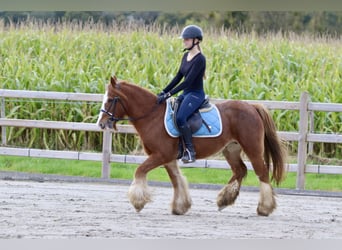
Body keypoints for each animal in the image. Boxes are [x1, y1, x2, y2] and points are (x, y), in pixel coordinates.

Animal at [96, 76, 286, 217]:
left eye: (111, 99)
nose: (101, 123)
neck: (152, 116)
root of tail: (252, 107)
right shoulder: (168, 158)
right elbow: (176, 179)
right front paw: (181, 206)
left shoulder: (161, 155)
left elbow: (140, 171)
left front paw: (138, 202)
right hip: (231, 149)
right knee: (240, 170)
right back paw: (224, 200)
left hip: (253, 149)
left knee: (262, 173)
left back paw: (264, 208)